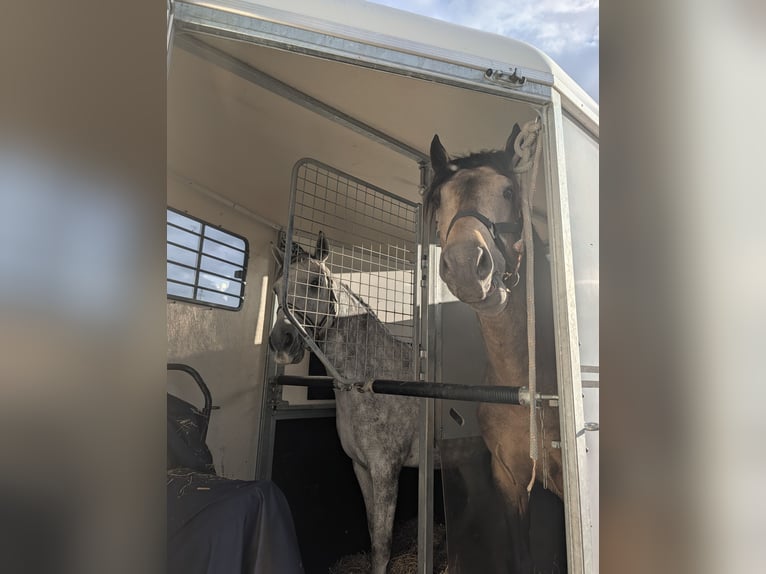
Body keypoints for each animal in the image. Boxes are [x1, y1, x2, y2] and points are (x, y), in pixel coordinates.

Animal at [268, 231, 421, 574]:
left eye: (315, 282)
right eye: (275, 289)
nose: (281, 342)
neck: (367, 383)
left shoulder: (386, 470)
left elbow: (383, 544)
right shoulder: (361, 468)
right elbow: (373, 533)